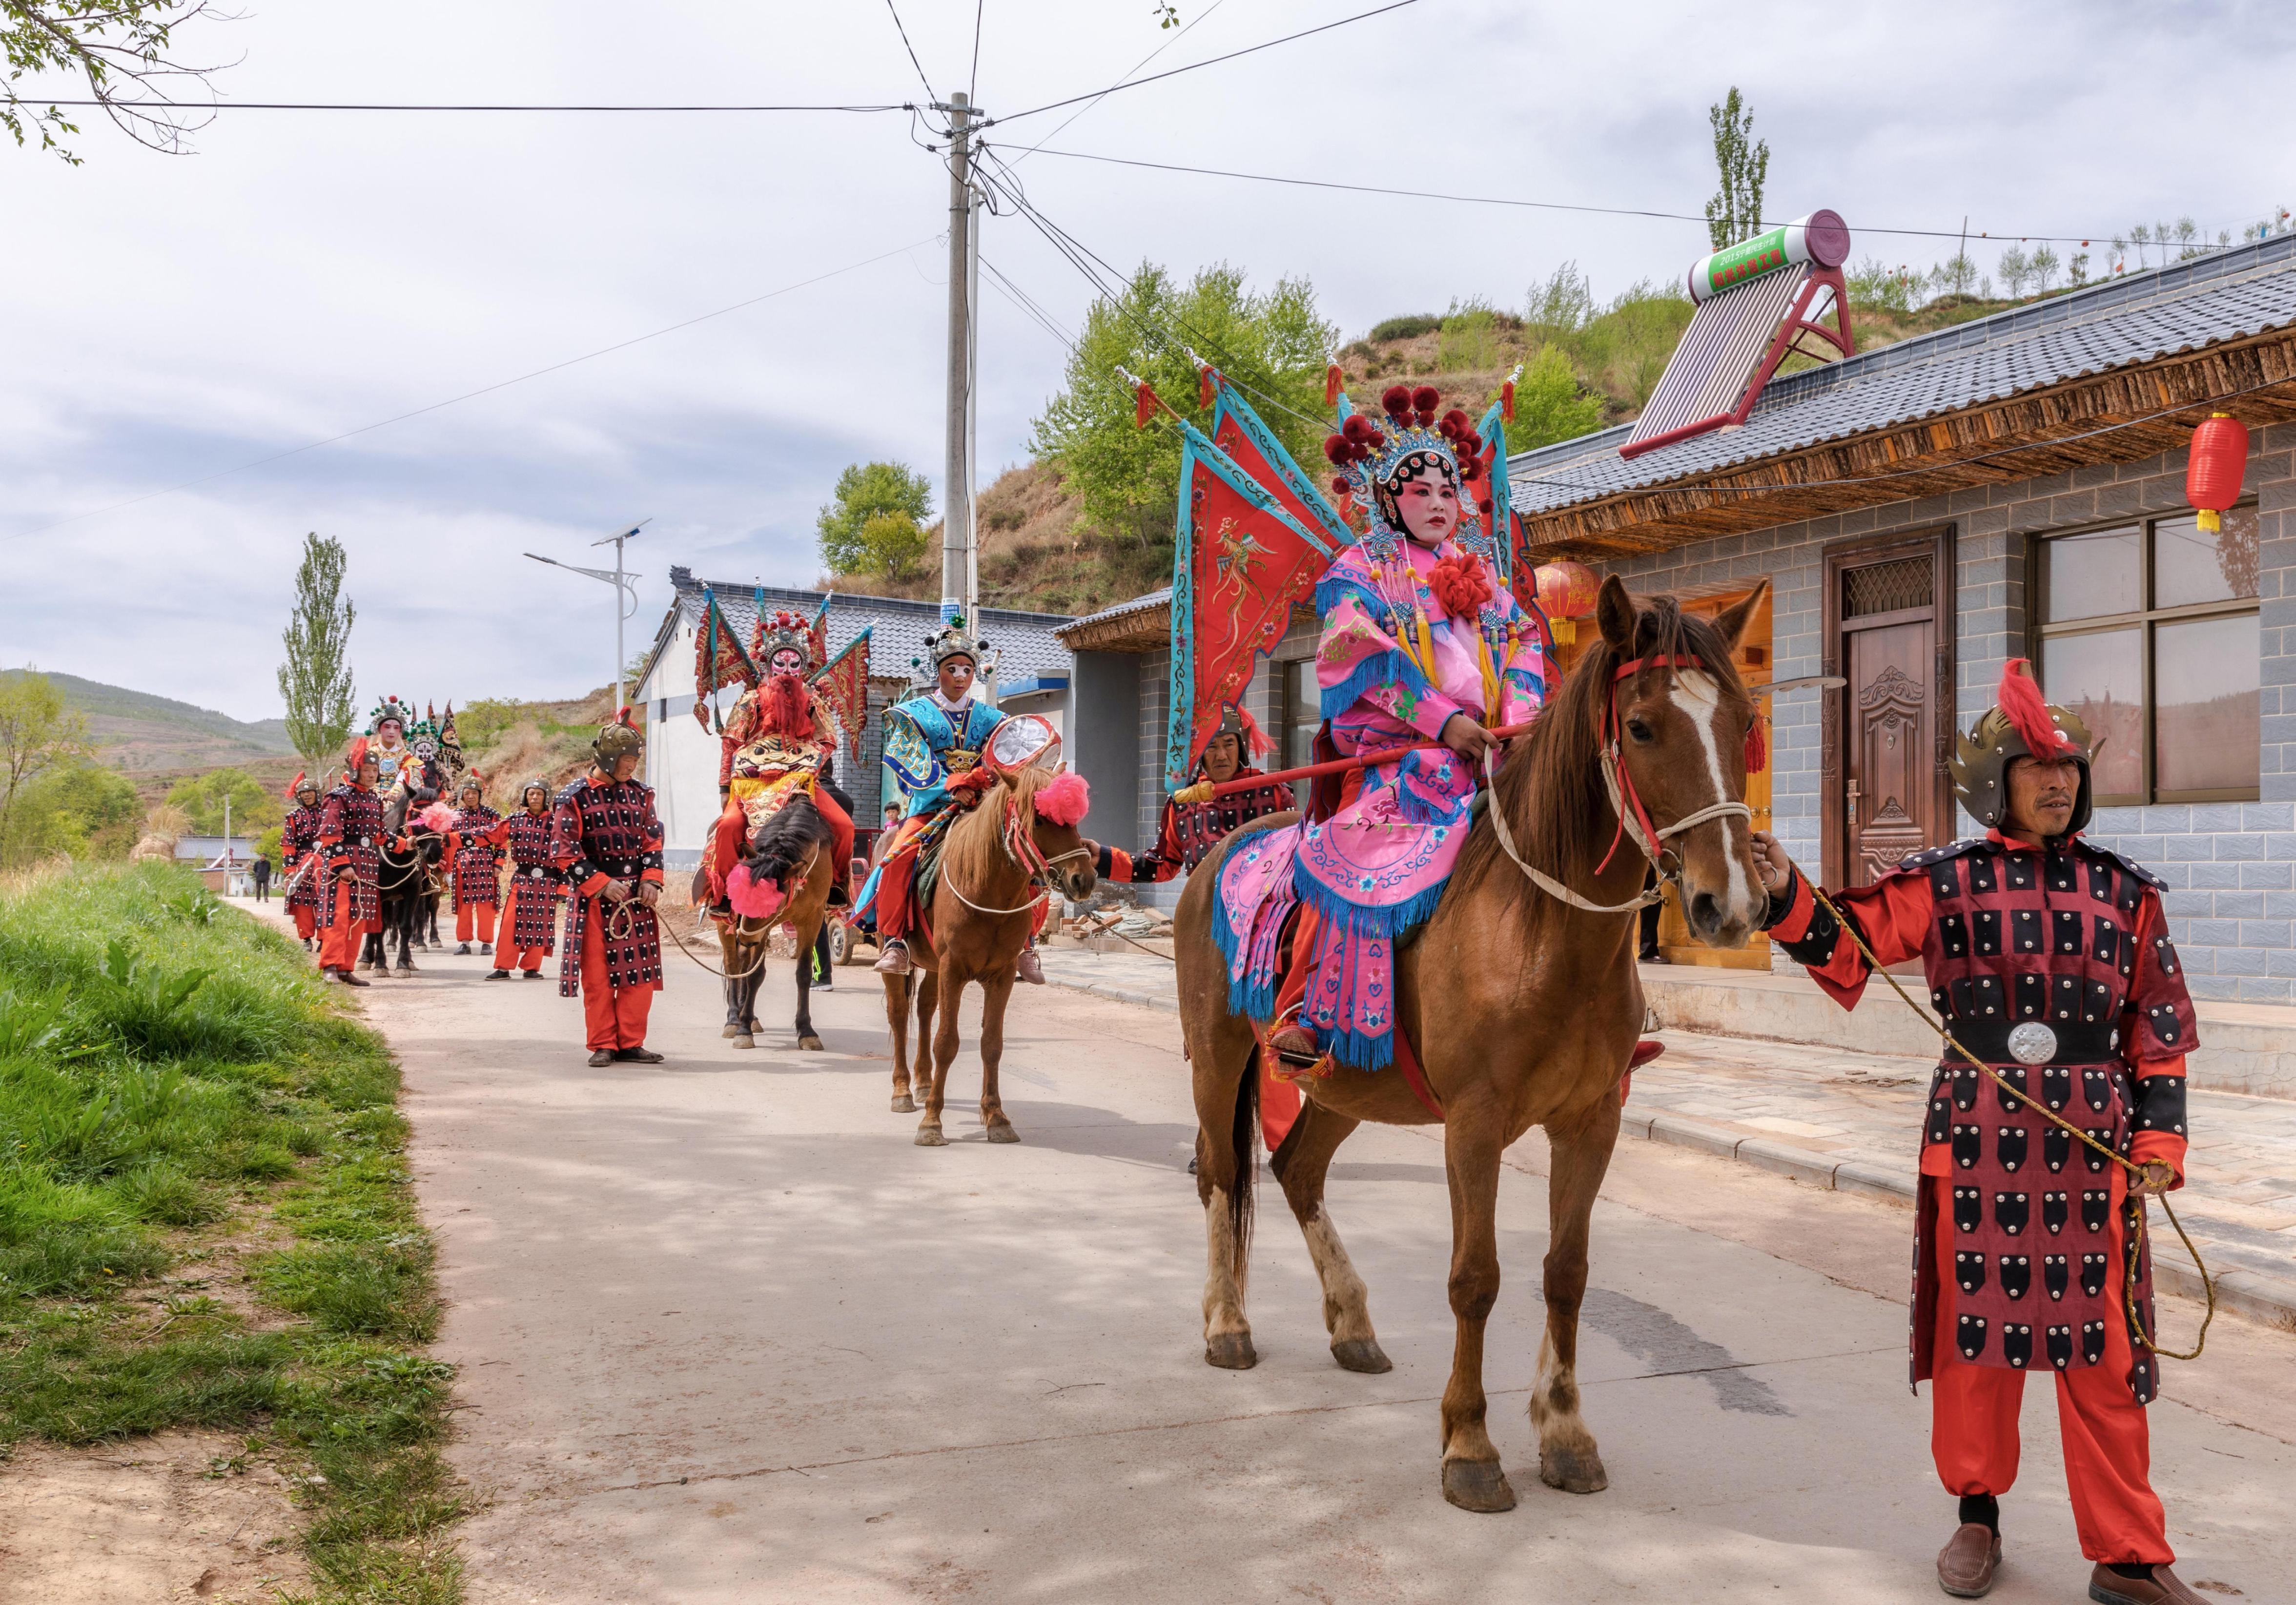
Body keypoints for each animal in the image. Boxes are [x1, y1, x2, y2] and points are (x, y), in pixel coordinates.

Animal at [882, 762, 1097, 1143]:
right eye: (1039, 820)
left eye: (1073, 820)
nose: (1082, 880)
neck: (987, 890)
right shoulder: (953, 969)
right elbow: (947, 1042)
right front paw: (932, 1123)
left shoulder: (1001, 976)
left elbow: (992, 1044)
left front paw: (997, 1118)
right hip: (897, 950)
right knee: (898, 1013)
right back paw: (903, 1091)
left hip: (934, 964)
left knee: (924, 1008)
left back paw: (923, 1083)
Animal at [1175, 581, 1763, 1515]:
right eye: (1640, 727)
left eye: (1742, 722)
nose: (1729, 904)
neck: (1542, 931)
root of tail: (1217, 849)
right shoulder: (1475, 1122)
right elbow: (1474, 1277)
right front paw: (1469, 1446)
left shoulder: (1591, 1120)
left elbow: (1565, 1271)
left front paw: (1565, 1433)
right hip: (1217, 1050)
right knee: (1222, 1173)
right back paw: (1227, 1323)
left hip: (1351, 1081)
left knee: (1297, 1169)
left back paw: (1352, 1323)